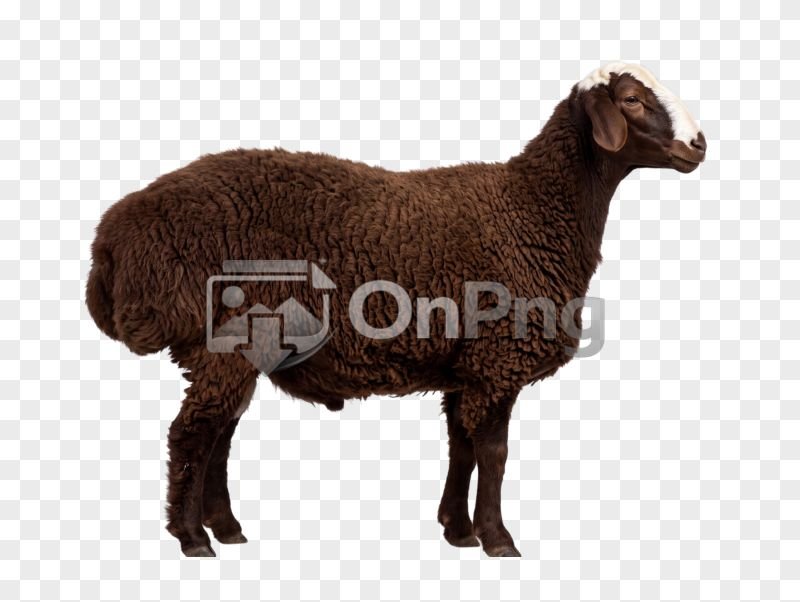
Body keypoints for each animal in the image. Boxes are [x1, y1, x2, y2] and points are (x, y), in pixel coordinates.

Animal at [86, 62, 706, 557]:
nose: (699, 145)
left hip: (239, 349)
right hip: (225, 338)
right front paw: (498, 539)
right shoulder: (499, 358)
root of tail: (112, 238)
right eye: (631, 99)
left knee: (220, 432)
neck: (532, 209)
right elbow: (495, 453)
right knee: (192, 434)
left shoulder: (469, 364)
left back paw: (226, 528)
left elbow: (462, 447)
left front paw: (458, 530)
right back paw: (193, 538)